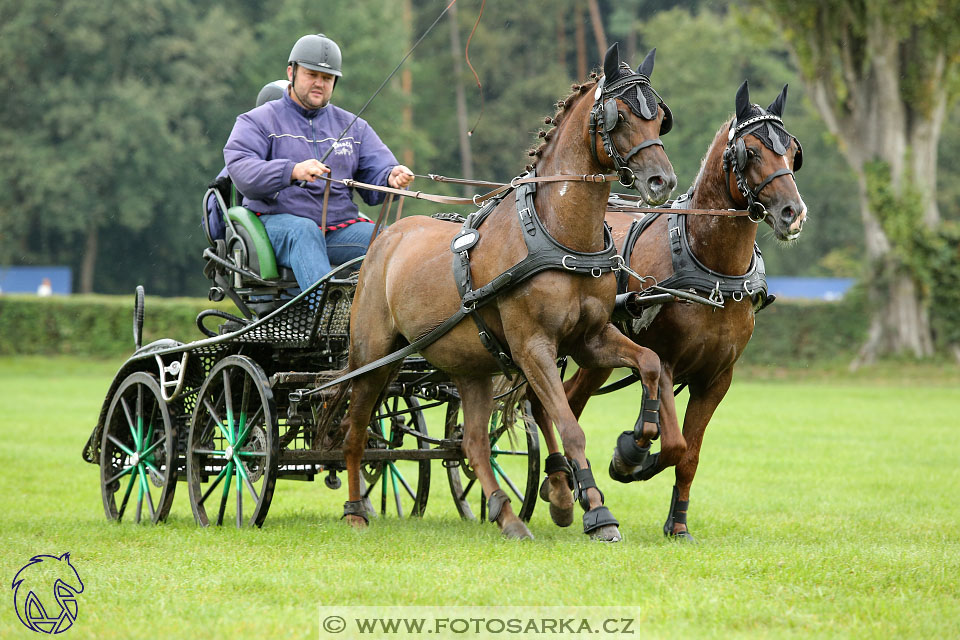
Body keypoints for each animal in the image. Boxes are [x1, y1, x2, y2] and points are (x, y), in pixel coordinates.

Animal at [342, 43, 680, 540]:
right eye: (619, 116)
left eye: (659, 118)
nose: (662, 182)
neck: (558, 236)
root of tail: (386, 238)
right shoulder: (533, 346)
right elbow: (569, 425)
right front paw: (596, 512)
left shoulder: (589, 339)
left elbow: (651, 362)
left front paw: (638, 441)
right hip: (374, 356)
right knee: (356, 426)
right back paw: (355, 510)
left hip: (471, 369)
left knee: (473, 444)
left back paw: (507, 515)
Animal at [536, 80, 808, 540]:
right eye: (751, 152)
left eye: (791, 151)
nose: (793, 213)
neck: (712, 270)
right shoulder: (664, 360)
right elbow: (673, 442)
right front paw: (627, 459)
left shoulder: (716, 379)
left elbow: (690, 454)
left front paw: (678, 523)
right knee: (548, 404)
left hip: (597, 354)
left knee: (568, 400)